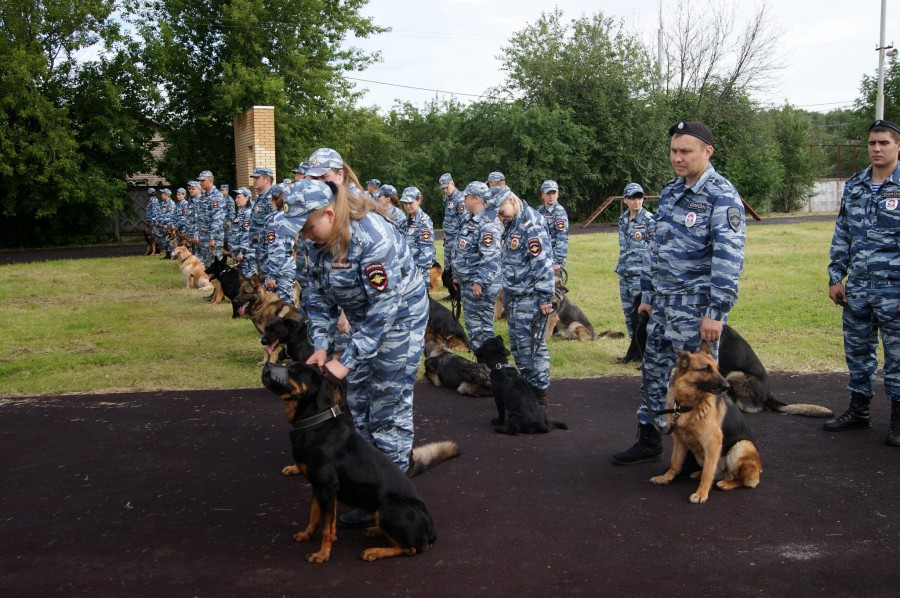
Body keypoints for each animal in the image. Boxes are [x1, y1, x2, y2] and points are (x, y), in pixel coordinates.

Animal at [258, 364, 458, 564]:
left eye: (294, 370)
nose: (267, 365)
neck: (313, 423)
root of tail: (431, 531)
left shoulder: (327, 486)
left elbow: (326, 527)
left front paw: (322, 555)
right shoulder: (318, 486)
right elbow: (314, 517)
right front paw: (306, 535)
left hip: (389, 508)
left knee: (410, 548)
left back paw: (374, 551)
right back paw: (375, 530)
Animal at [652, 342, 764, 506]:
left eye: (717, 369)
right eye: (706, 369)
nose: (727, 386)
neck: (689, 404)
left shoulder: (713, 442)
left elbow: (707, 472)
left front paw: (701, 493)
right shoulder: (679, 439)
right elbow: (675, 462)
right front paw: (666, 478)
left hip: (741, 446)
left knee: (743, 480)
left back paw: (726, 483)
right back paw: (698, 473)